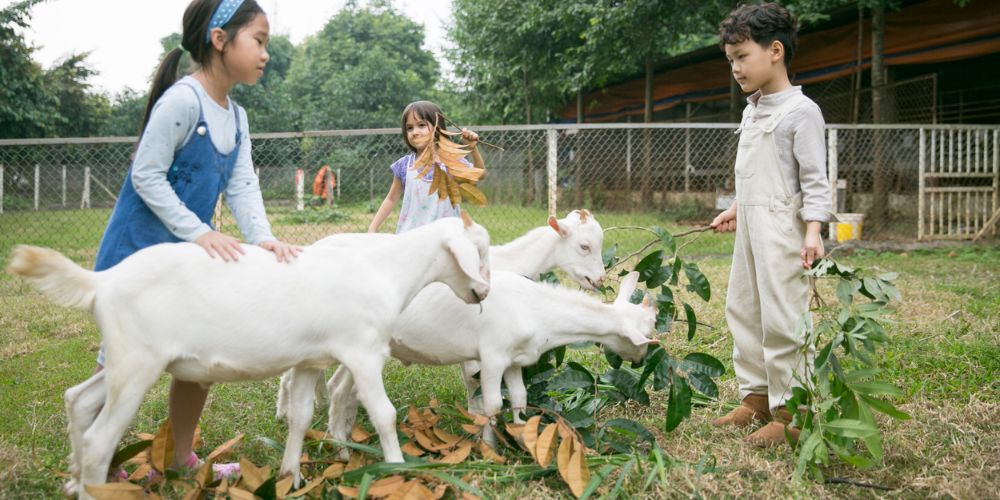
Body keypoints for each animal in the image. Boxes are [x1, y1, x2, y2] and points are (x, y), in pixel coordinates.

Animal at [6, 215, 492, 496]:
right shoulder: (364, 353)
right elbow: (384, 414)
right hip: (136, 365)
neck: (384, 269)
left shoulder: (309, 361)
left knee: (78, 399)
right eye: (480, 253)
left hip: (126, 361)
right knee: (99, 440)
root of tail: (102, 282)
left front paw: (291, 477)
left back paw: (73, 481)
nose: (484, 292)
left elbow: (300, 418)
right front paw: (398, 469)